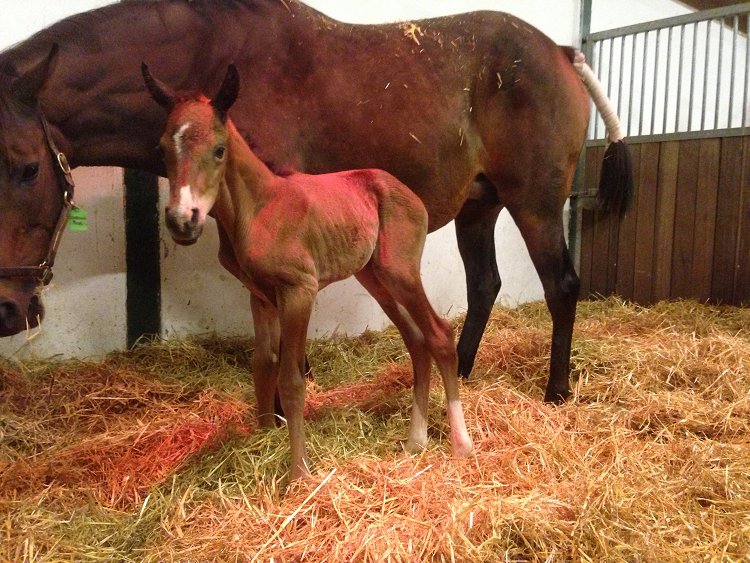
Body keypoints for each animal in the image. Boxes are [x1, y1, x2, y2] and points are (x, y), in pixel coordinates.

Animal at [143, 65, 472, 480]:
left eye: (219, 150)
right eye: (162, 149)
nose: (182, 221)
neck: (259, 210)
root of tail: (407, 192)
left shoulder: (299, 290)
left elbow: (292, 379)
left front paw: (299, 472)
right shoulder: (260, 295)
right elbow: (263, 364)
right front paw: (263, 437)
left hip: (401, 272)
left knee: (439, 334)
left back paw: (461, 443)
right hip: (374, 277)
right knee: (416, 340)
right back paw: (416, 440)